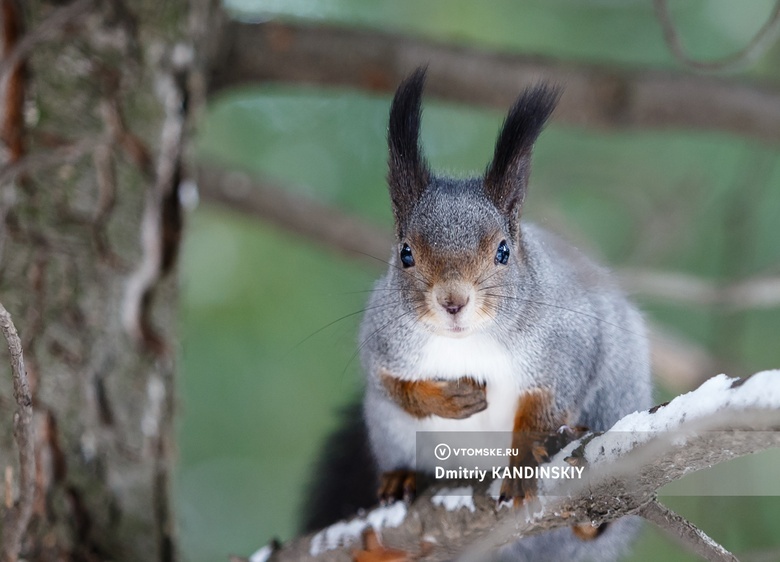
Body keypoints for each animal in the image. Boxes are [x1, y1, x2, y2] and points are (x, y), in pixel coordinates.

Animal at [304, 68, 652, 556]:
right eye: (405, 253)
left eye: (503, 251)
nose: (453, 301)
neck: (466, 341)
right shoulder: (383, 340)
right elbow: (391, 384)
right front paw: (447, 399)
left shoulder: (568, 343)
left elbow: (548, 401)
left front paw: (524, 454)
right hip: (389, 429)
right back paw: (400, 480)